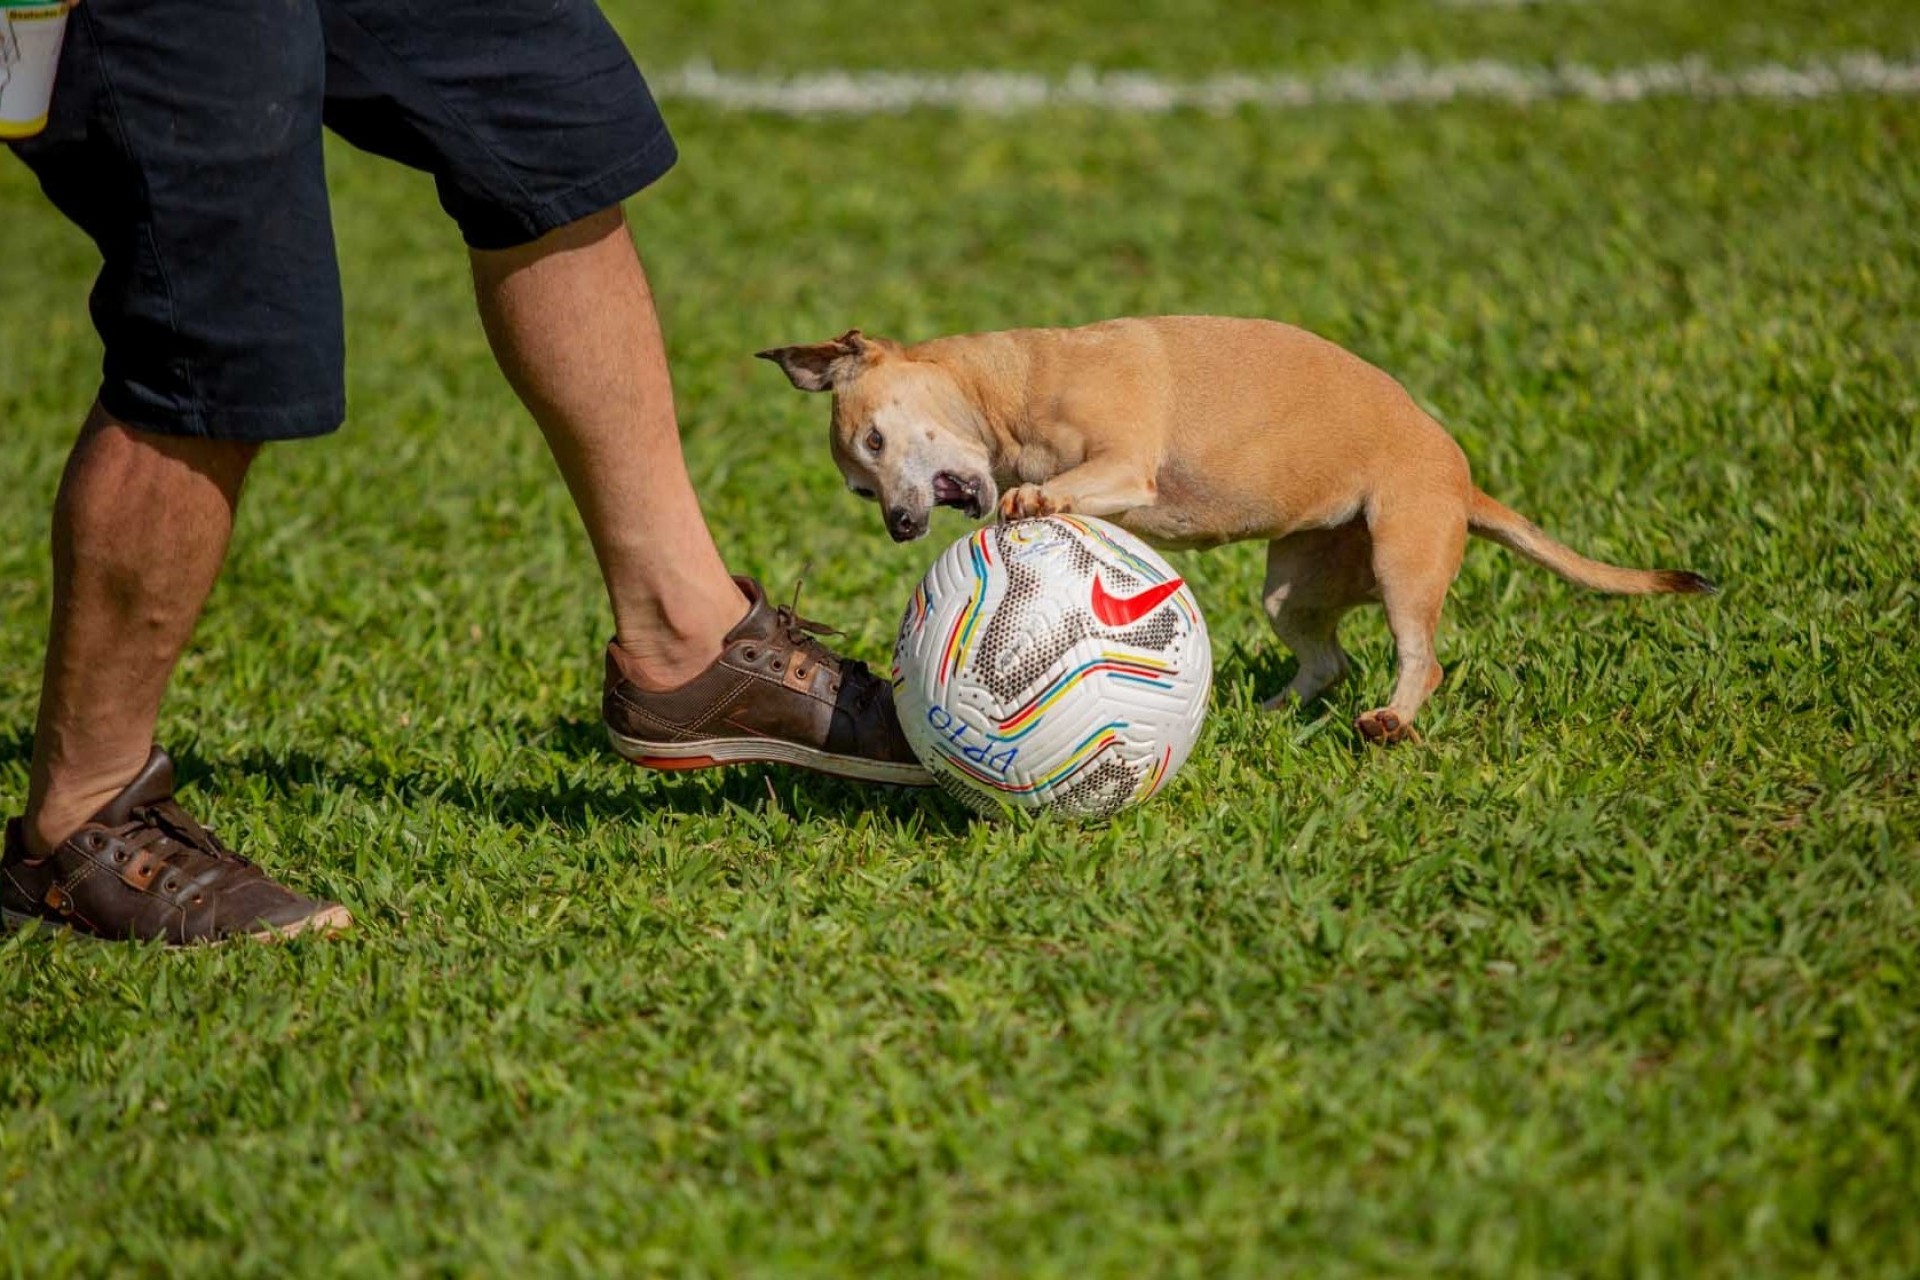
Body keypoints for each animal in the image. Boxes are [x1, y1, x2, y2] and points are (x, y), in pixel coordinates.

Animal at [752, 314, 1712, 744]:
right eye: (859, 485)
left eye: (878, 441)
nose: (900, 525)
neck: (1010, 385)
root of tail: (1463, 479)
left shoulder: (1124, 464)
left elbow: (1067, 487)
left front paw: (1034, 503)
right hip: (1296, 584)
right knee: (1327, 658)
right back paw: (1271, 710)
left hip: (1404, 554)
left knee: (1419, 658)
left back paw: (1390, 720)